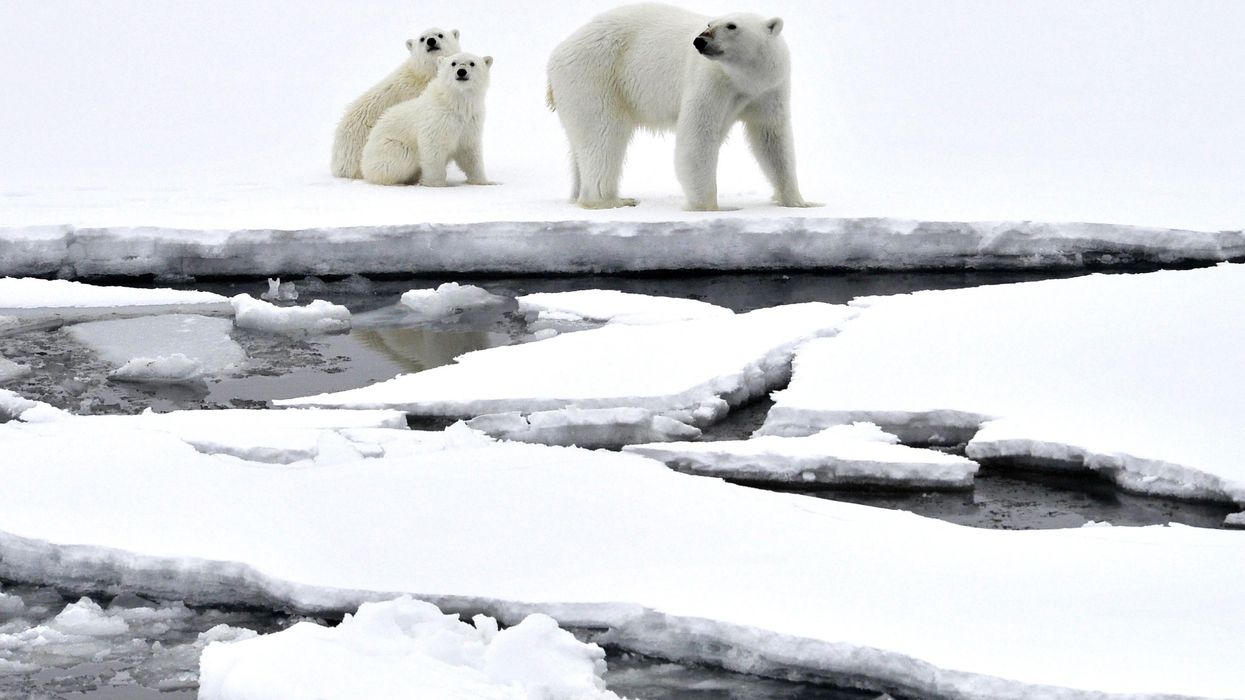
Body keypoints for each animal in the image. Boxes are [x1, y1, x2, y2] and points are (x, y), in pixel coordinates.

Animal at [360, 52, 494, 187]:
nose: (461, 72)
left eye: (472, 63)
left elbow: (470, 152)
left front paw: (484, 181)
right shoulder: (437, 120)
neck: (455, 103)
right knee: (400, 158)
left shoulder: (470, 122)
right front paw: (436, 183)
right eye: (453, 63)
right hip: (389, 147)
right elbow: (433, 148)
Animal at [546, 3, 817, 211]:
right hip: (596, 77)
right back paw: (611, 200)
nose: (699, 41)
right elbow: (698, 137)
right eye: (709, 23)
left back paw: (579, 194)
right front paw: (711, 207)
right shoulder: (711, 82)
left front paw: (799, 201)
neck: (744, 80)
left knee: (582, 143)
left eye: (731, 25)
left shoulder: (769, 90)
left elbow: (771, 139)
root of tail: (556, 55)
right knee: (603, 136)